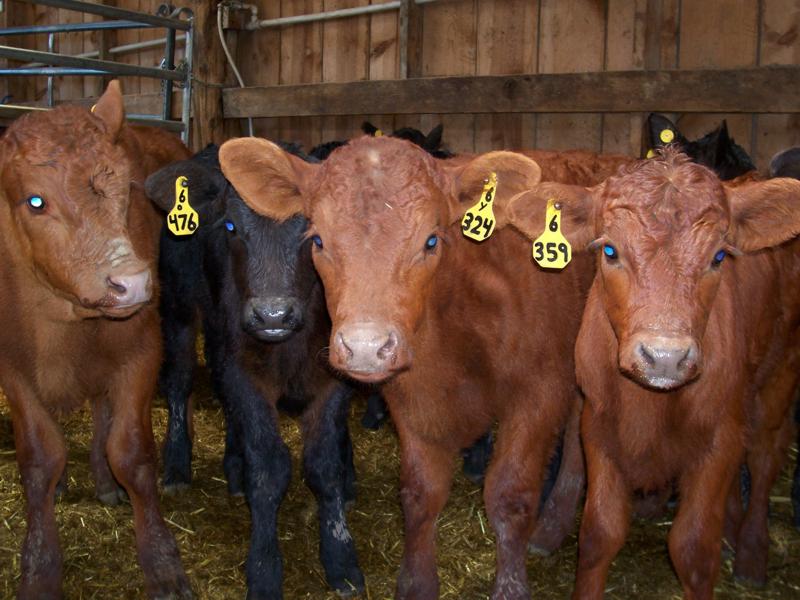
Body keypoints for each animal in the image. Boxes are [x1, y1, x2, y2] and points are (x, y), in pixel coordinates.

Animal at [0, 81, 192, 600]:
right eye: (36, 201)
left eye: (127, 189)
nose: (132, 283)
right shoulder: (13, 369)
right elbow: (40, 459)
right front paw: (40, 568)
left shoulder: (142, 348)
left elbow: (132, 452)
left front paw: (163, 563)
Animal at [146, 146, 362, 600]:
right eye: (230, 226)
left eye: (314, 232)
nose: (272, 314)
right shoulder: (246, 374)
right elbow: (268, 469)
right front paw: (263, 569)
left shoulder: (333, 380)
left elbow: (325, 466)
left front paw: (341, 558)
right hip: (178, 303)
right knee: (179, 380)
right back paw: (177, 466)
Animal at [219, 136, 600, 600]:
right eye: (319, 240)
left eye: (431, 241)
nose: (365, 347)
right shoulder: (412, 399)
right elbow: (420, 493)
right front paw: (416, 583)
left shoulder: (540, 393)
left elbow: (511, 497)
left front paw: (511, 588)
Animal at [504, 150, 800, 600]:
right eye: (610, 250)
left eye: (718, 257)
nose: (665, 356)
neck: (650, 407)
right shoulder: (599, 427)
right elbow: (599, 534)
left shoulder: (720, 437)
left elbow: (694, 549)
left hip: (780, 373)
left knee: (766, 457)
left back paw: (751, 553)